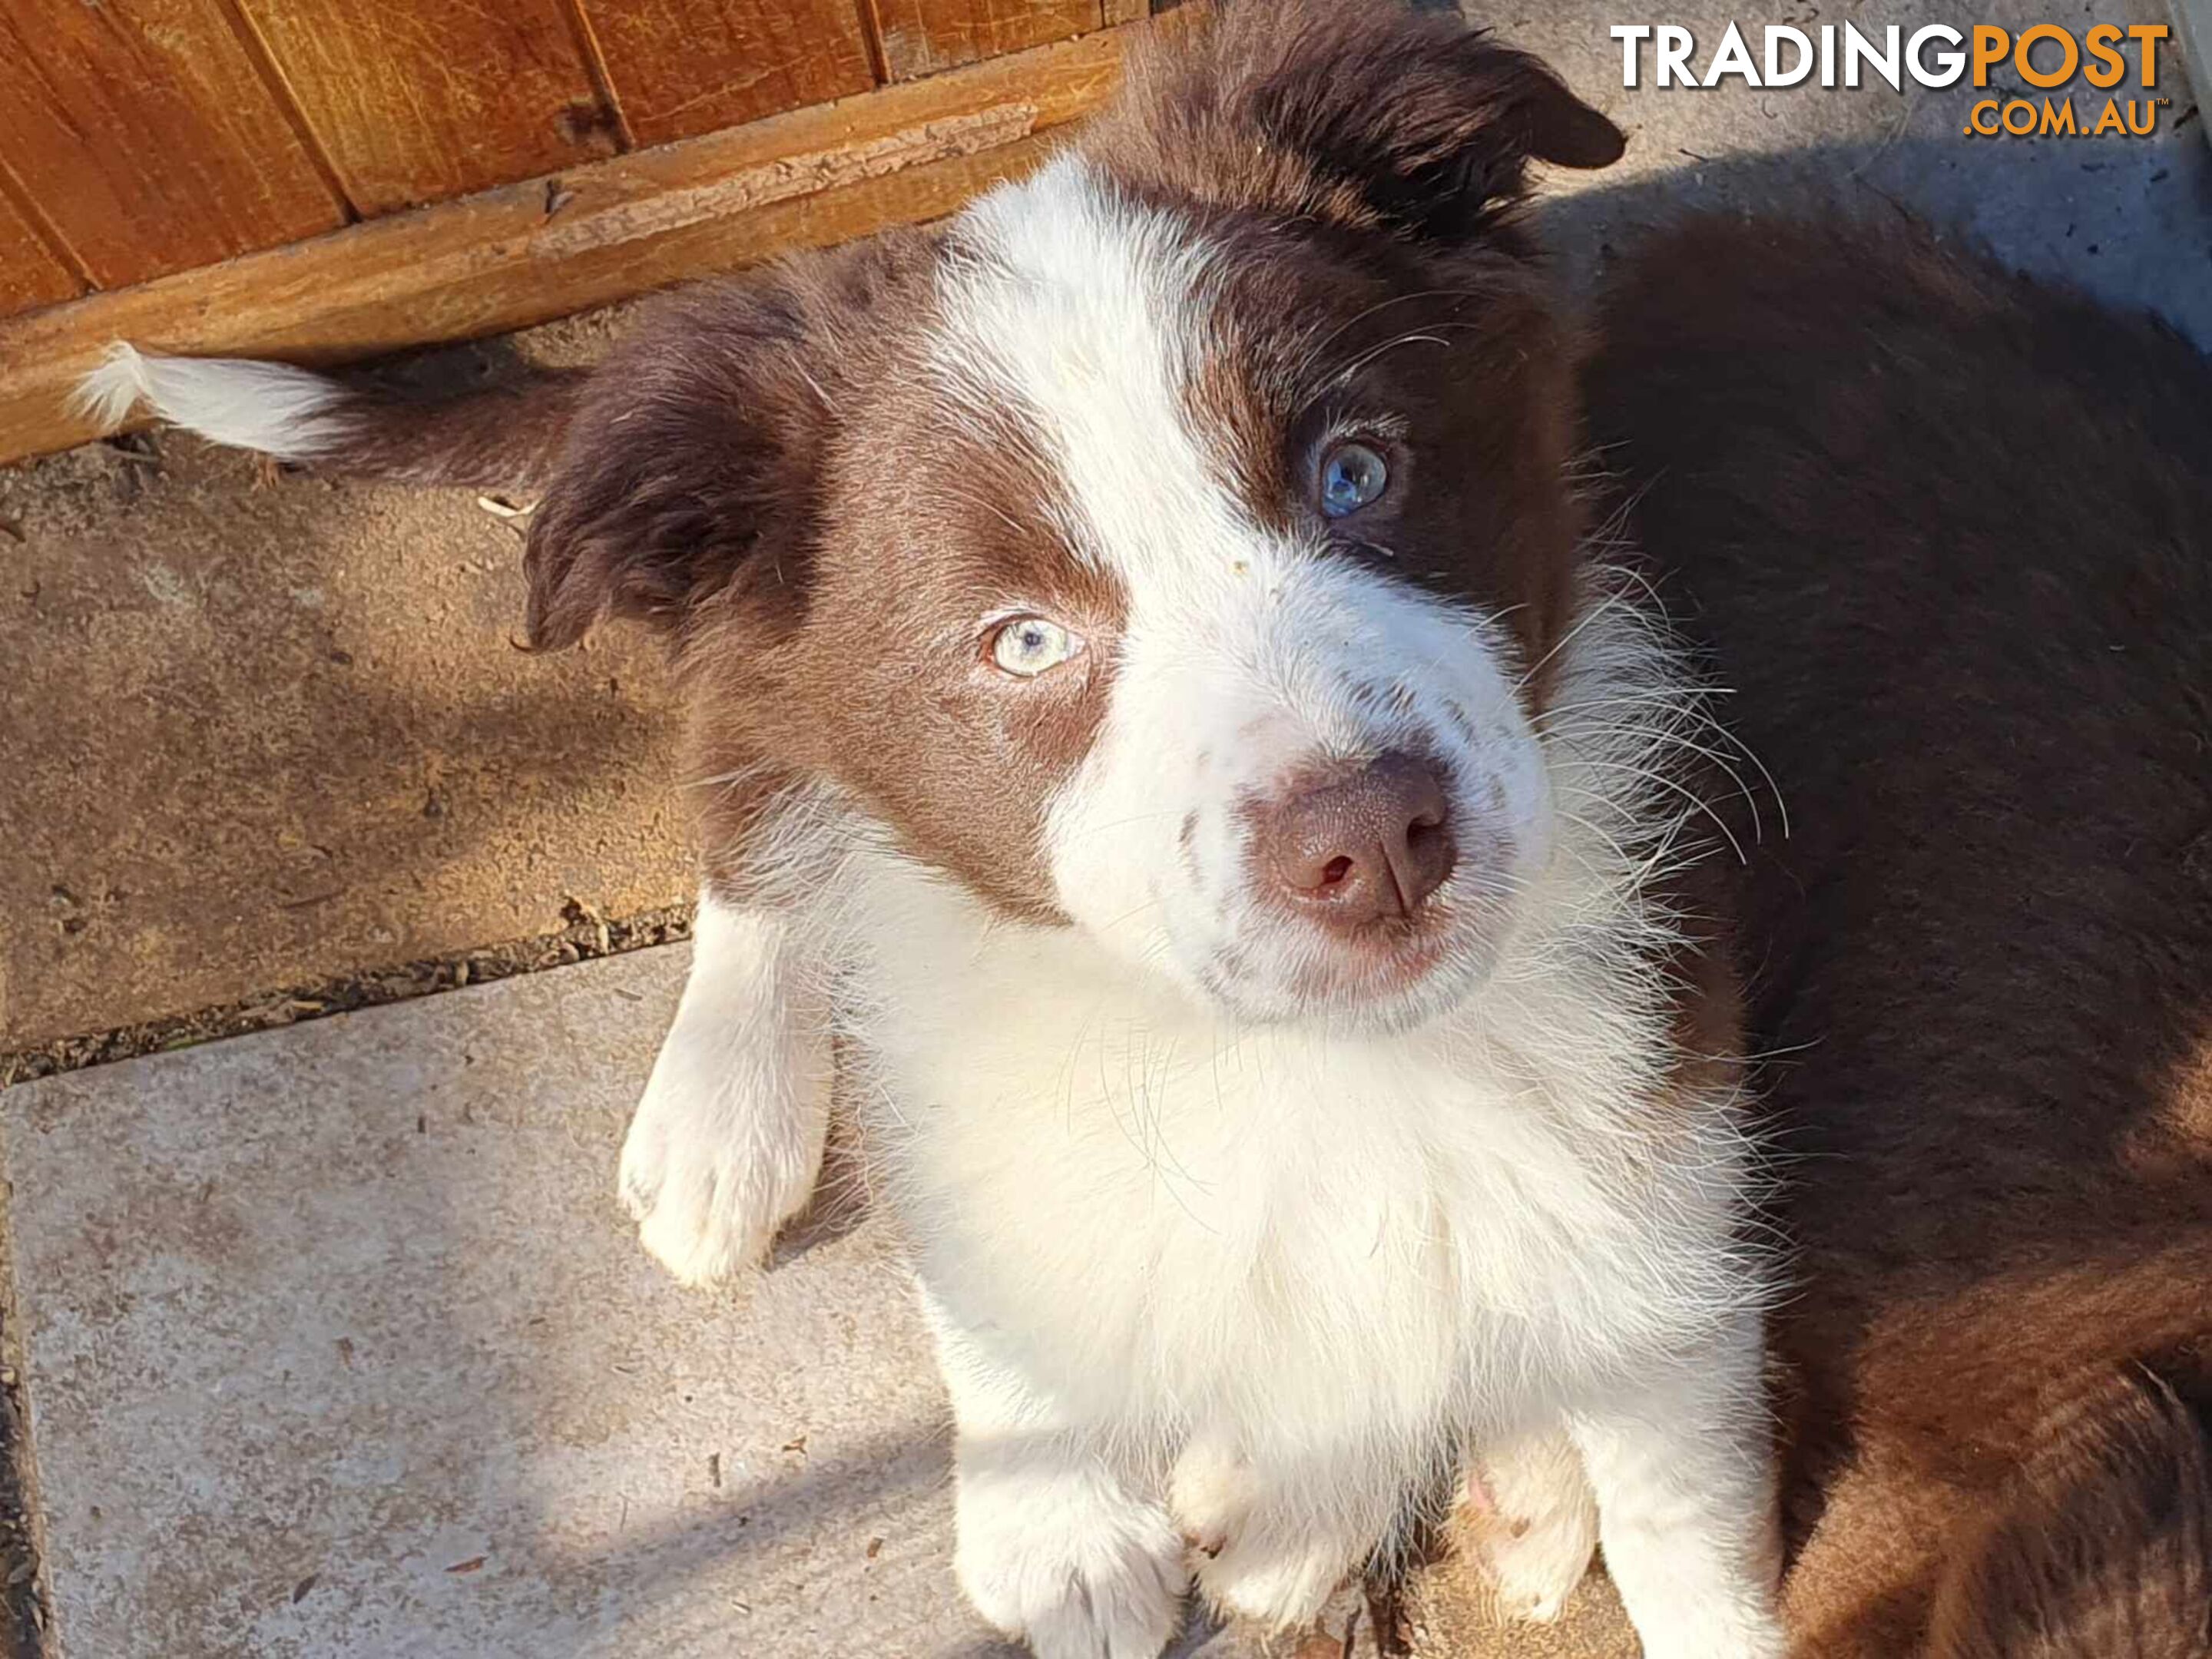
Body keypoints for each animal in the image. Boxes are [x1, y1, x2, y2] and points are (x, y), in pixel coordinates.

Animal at [78, 6, 1787, 1654]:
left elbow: (1676, 1515)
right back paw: (723, 1118)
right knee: (745, 781)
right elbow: (988, 1253)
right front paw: (1062, 1531)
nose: (1371, 837)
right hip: (734, 637)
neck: (1316, 1067)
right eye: (1022, 643)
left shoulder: (1665, 1152)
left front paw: (1370, 1492)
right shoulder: (957, 1063)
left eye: (1355, 470)